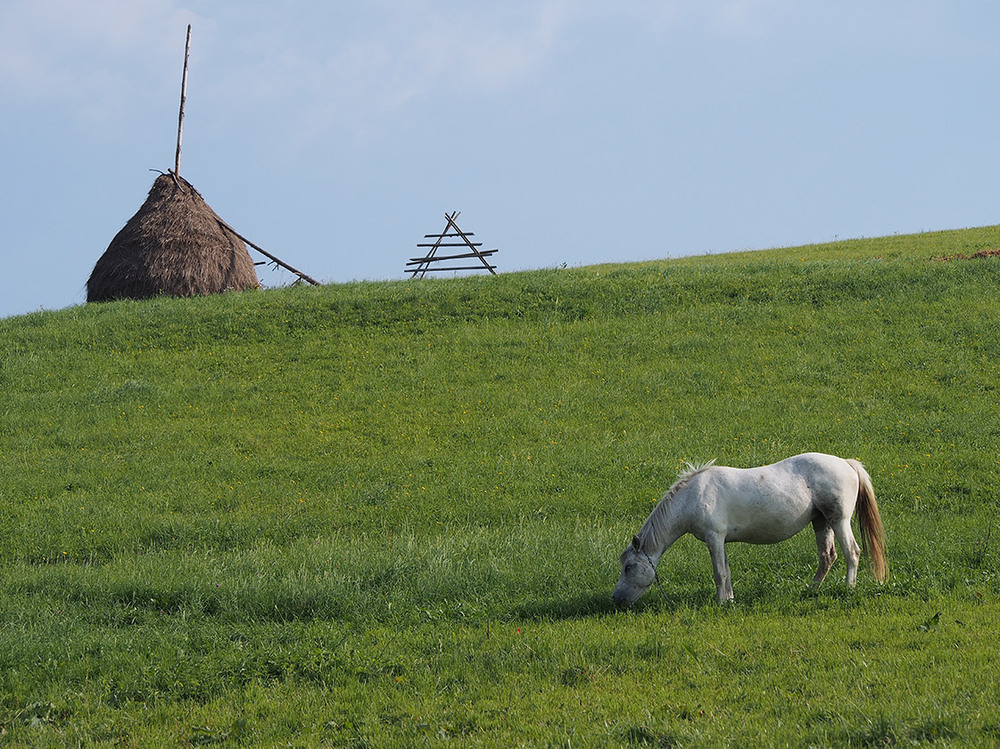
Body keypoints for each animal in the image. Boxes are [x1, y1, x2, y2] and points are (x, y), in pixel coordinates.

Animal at [612, 452, 888, 604]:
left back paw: (848, 588)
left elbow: (719, 573)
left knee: (852, 553)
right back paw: (810, 590)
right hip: (821, 522)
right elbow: (727, 571)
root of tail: (847, 463)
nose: (616, 599)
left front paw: (721, 602)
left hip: (839, 520)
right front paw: (730, 599)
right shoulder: (721, 541)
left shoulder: (714, 538)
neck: (694, 496)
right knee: (827, 557)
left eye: (629, 567)